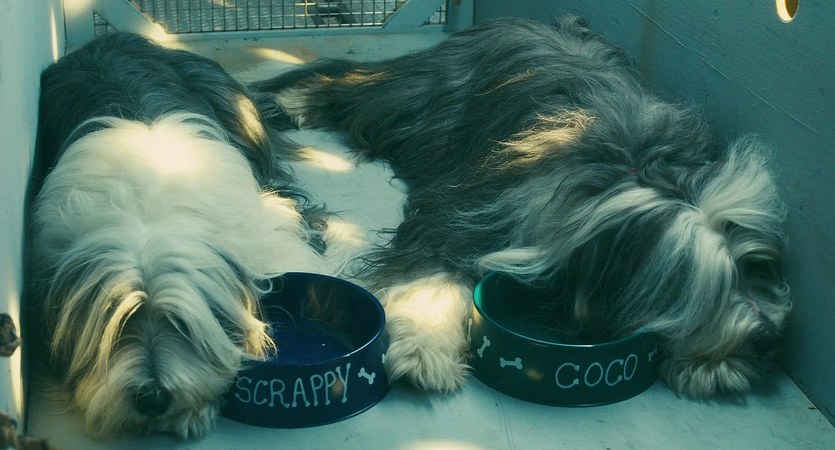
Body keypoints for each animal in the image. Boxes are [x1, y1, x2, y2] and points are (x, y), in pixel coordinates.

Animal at [253, 15, 792, 398]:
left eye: (757, 268)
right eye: (696, 289)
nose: (769, 338)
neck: (622, 179)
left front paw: (716, 365)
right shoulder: (462, 217)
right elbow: (429, 274)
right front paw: (425, 351)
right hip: (413, 104)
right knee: (354, 90)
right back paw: (299, 101)